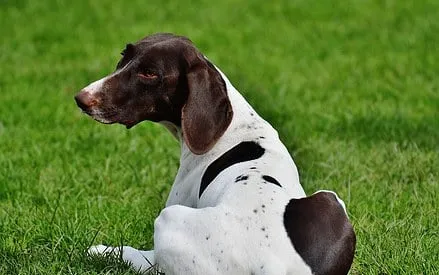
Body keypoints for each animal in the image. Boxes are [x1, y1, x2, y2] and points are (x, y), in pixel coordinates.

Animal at [75, 33, 358, 274]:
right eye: (124, 55)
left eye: (149, 73)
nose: (81, 98)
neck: (235, 125)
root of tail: (272, 266)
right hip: (330, 199)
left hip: (169, 219)